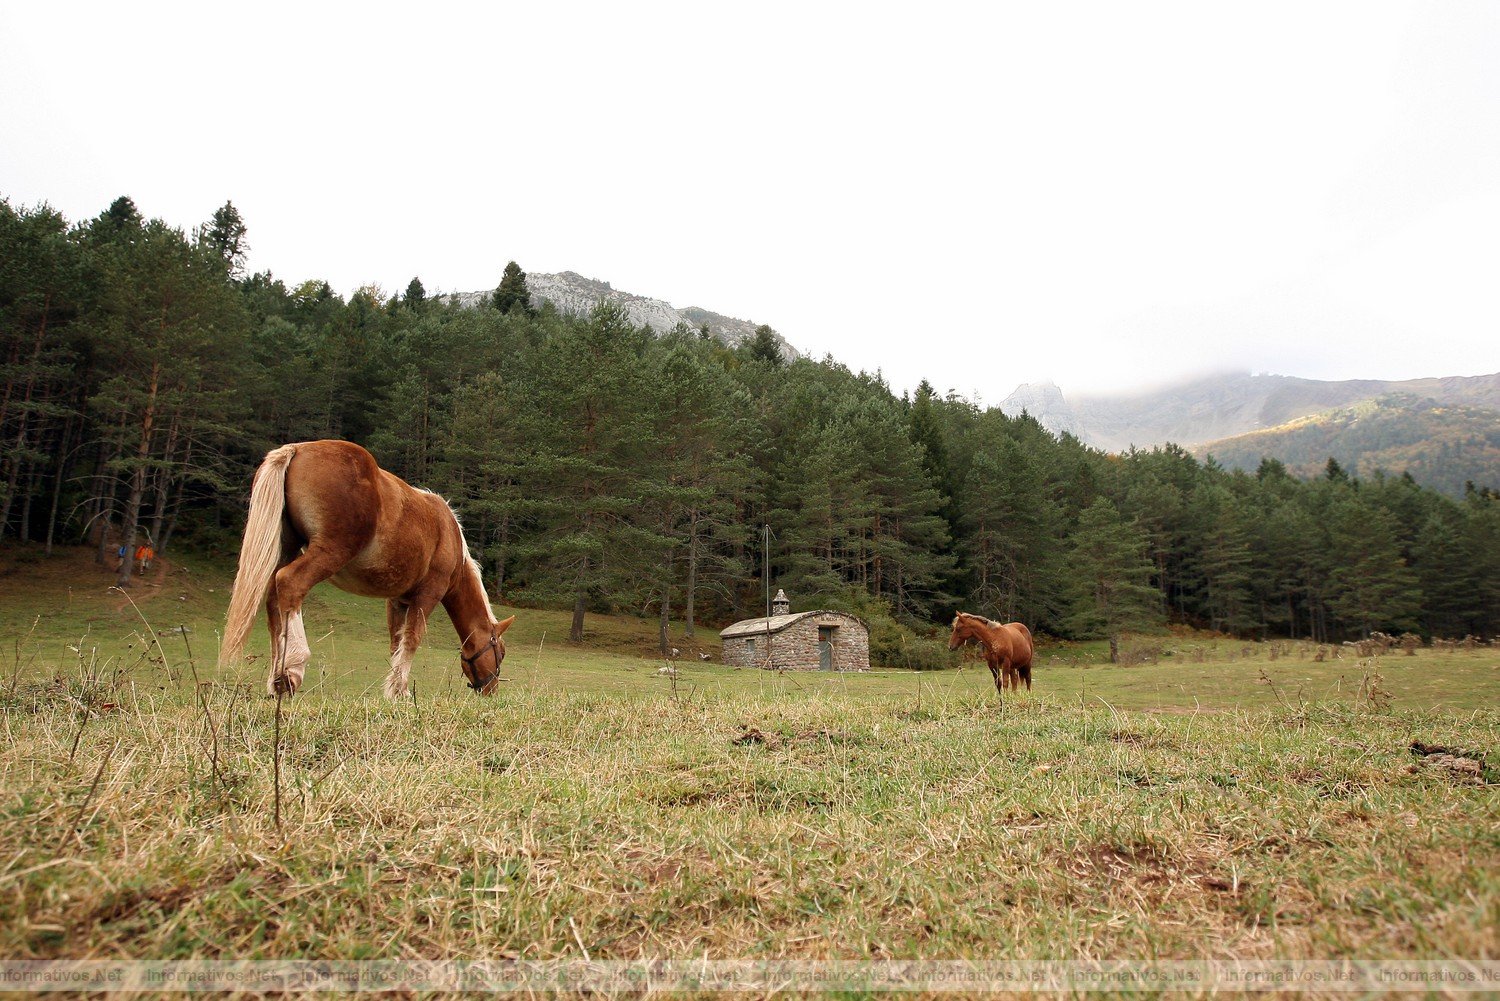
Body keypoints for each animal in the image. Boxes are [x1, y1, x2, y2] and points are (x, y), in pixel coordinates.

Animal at [214, 441, 513, 702]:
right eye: (500, 652)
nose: (491, 690)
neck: (448, 534)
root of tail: (298, 449)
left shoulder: (398, 601)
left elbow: (397, 642)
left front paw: (392, 687)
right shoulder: (428, 595)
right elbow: (412, 639)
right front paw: (401, 691)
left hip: (287, 547)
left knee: (274, 600)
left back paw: (277, 677)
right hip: (329, 552)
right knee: (290, 583)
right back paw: (292, 669)